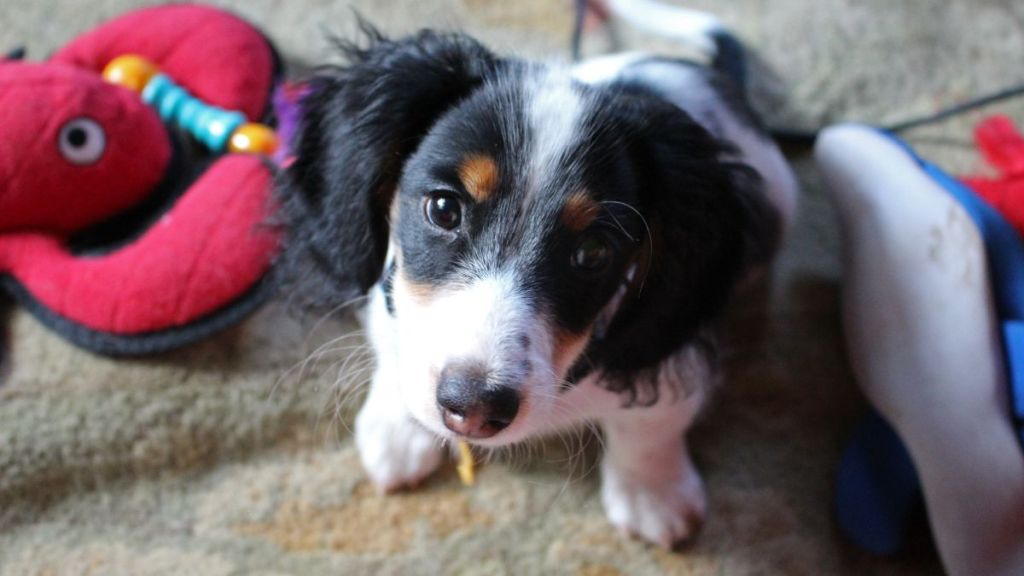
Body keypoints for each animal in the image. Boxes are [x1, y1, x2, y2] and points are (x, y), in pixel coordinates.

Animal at [282, 19, 798, 545]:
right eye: (443, 208)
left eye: (592, 253)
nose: (474, 409)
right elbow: (393, 344)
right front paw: (397, 429)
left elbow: (650, 426)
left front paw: (653, 494)